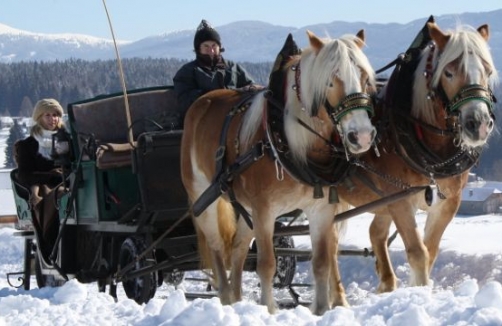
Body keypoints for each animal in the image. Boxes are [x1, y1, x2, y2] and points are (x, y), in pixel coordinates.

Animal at [181, 29, 376, 314]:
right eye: (330, 78)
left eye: (364, 77)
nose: (361, 136)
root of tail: (200, 104)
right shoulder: (264, 211)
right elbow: (267, 264)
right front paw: (269, 311)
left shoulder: (321, 209)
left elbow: (322, 261)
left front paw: (321, 310)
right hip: (204, 198)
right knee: (217, 247)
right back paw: (227, 299)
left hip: (244, 207)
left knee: (238, 247)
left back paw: (238, 300)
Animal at [334, 20, 498, 294]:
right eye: (448, 72)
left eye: (487, 70)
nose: (479, 125)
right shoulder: (400, 199)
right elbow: (417, 252)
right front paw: (419, 290)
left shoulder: (448, 202)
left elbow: (430, 250)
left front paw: (419, 289)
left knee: (374, 233)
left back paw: (387, 285)